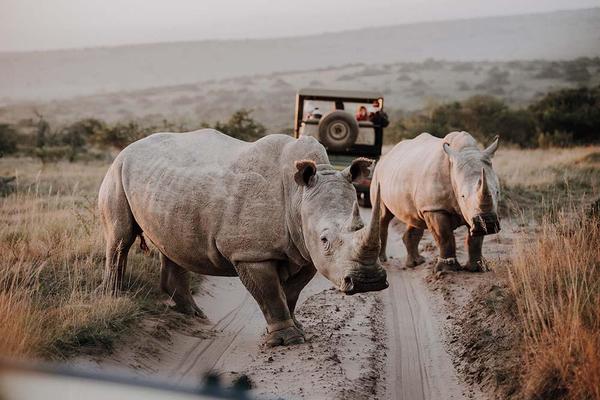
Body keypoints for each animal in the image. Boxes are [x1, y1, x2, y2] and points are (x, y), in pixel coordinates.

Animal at [98, 130, 390, 346]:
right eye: (325, 240)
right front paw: (288, 340)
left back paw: (193, 314)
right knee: (120, 239)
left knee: (173, 244)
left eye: (361, 226)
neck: (298, 196)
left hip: (165, 186)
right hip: (117, 171)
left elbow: (292, 292)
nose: (369, 282)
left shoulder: (306, 252)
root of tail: (128, 147)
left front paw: (297, 328)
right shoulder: (252, 253)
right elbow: (270, 293)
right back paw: (114, 299)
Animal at [372, 131, 500, 272]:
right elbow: (444, 237)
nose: (488, 221)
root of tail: (385, 156)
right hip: (377, 176)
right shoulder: (434, 207)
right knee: (383, 216)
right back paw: (382, 260)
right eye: (462, 196)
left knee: (414, 218)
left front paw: (477, 268)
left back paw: (416, 263)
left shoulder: (473, 214)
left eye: (497, 192)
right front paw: (447, 270)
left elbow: (476, 240)